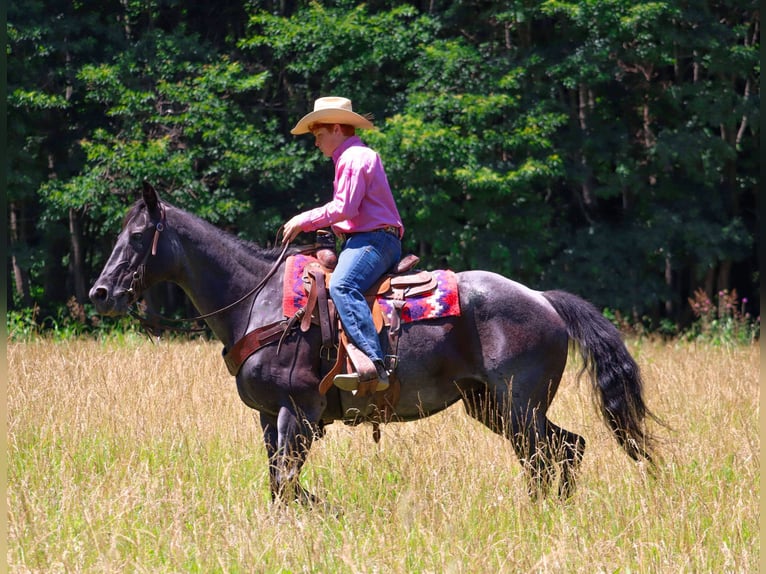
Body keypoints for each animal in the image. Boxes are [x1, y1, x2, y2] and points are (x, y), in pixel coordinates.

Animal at [91, 183, 660, 504]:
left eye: (138, 237)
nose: (101, 293)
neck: (260, 300)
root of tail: (543, 299)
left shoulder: (297, 411)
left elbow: (285, 482)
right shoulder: (267, 416)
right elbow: (279, 482)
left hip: (518, 404)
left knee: (547, 455)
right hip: (492, 405)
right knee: (565, 448)